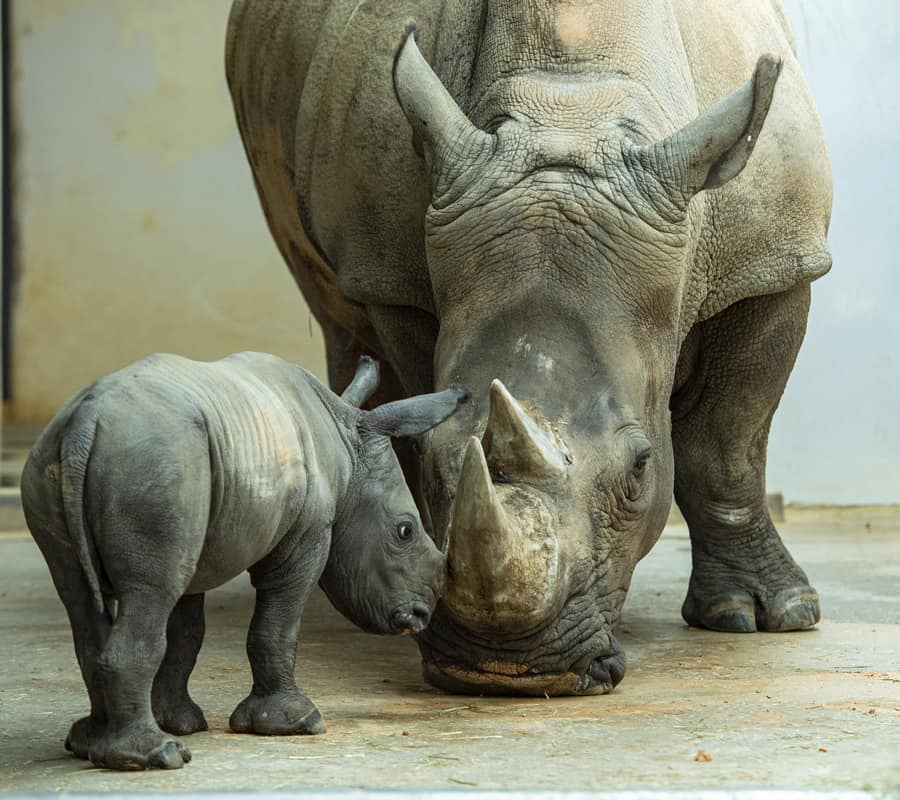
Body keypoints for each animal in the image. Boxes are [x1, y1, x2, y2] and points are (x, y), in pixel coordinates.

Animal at [22, 353, 467, 769]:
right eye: (405, 531)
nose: (420, 614)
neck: (347, 443)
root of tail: (85, 422)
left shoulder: (196, 540)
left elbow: (187, 633)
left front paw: (182, 721)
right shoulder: (305, 536)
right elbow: (276, 625)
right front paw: (294, 723)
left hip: (74, 465)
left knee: (78, 595)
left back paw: (89, 744)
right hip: (155, 464)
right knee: (149, 593)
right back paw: (156, 756)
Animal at [226, 0, 832, 696]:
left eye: (640, 467)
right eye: (432, 462)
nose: (505, 668)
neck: (572, 108)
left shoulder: (773, 261)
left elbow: (726, 446)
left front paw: (762, 616)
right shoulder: (389, 276)